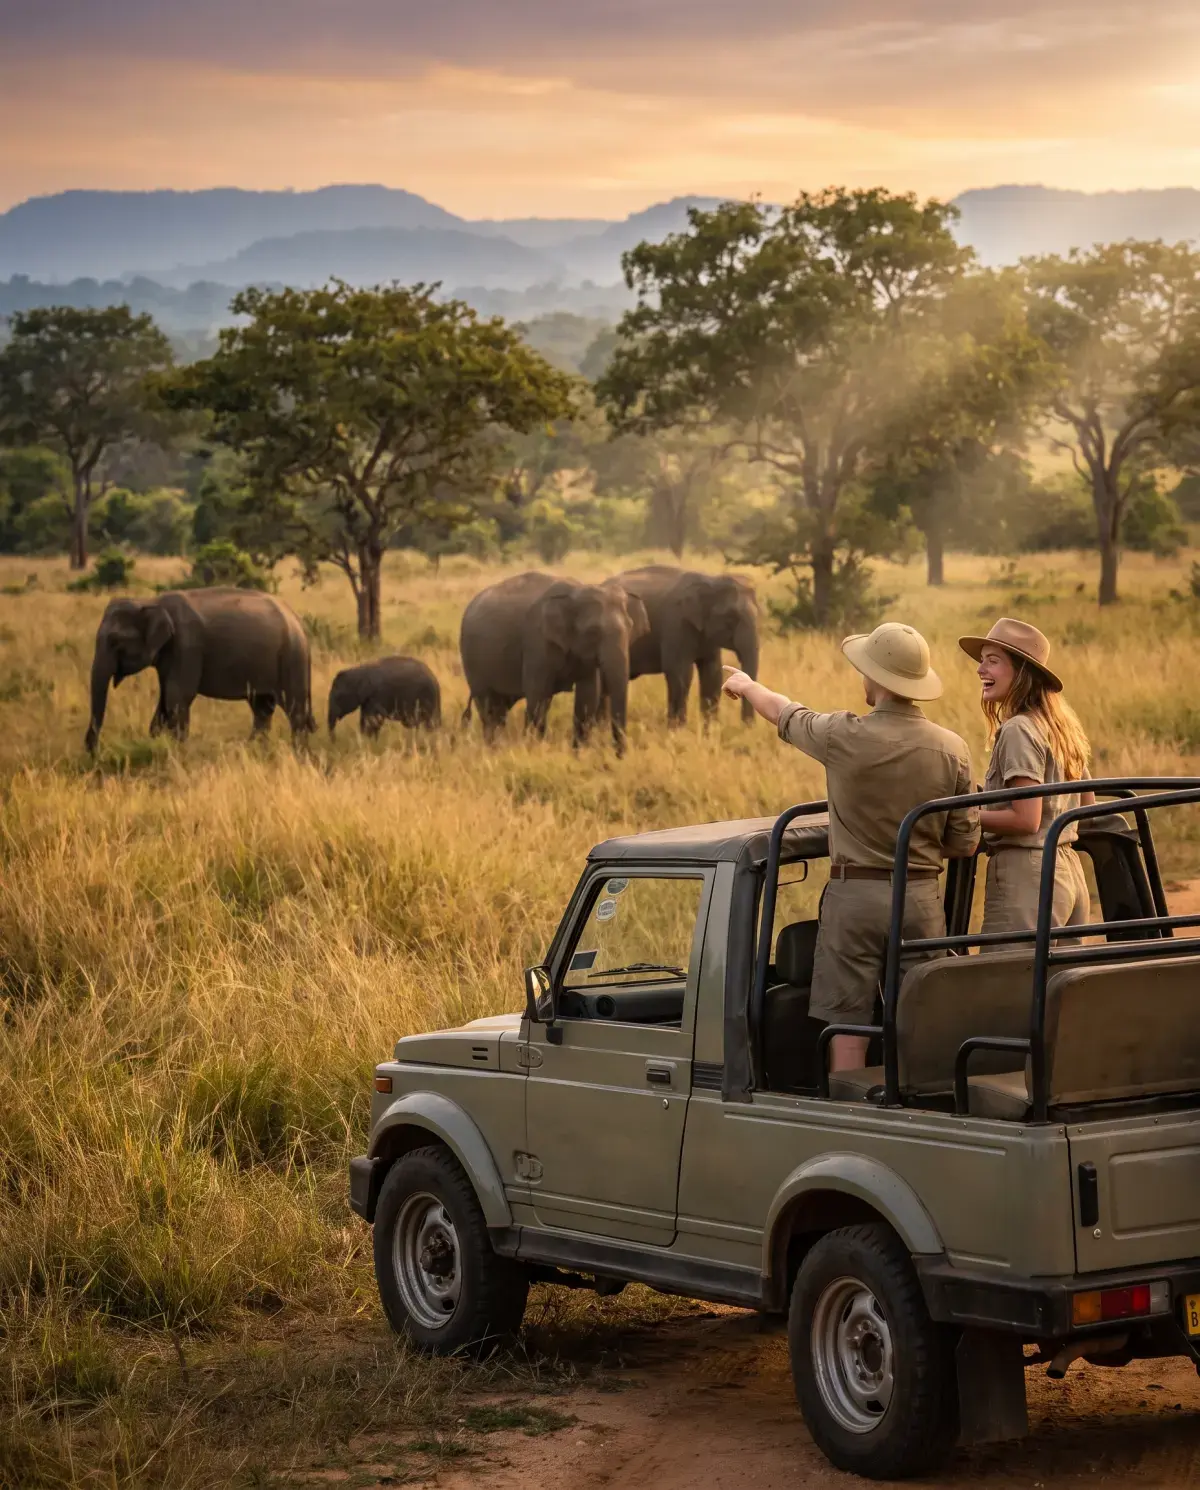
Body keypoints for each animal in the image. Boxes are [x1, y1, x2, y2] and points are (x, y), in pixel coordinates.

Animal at [85, 587, 316, 751]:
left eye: (115, 641)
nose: (93, 751)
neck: (150, 602)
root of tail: (298, 620)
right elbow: (164, 701)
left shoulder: (187, 646)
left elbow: (177, 698)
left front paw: (177, 753)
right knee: (262, 708)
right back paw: (255, 751)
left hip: (292, 657)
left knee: (294, 710)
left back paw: (298, 755)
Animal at [459, 571, 649, 755]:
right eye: (593, 631)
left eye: (630, 627)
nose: (618, 755)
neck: (576, 592)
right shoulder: (537, 642)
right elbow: (537, 697)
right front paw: (535, 750)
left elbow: (588, 698)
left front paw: (578, 755)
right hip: (472, 663)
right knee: (489, 709)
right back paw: (493, 750)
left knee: (500, 710)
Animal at [612, 565, 759, 727]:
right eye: (731, 617)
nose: (746, 727)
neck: (711, 580)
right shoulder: (676, 623)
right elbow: (681, 673)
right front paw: (677, 729)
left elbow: (712, 673)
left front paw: (710, 729)